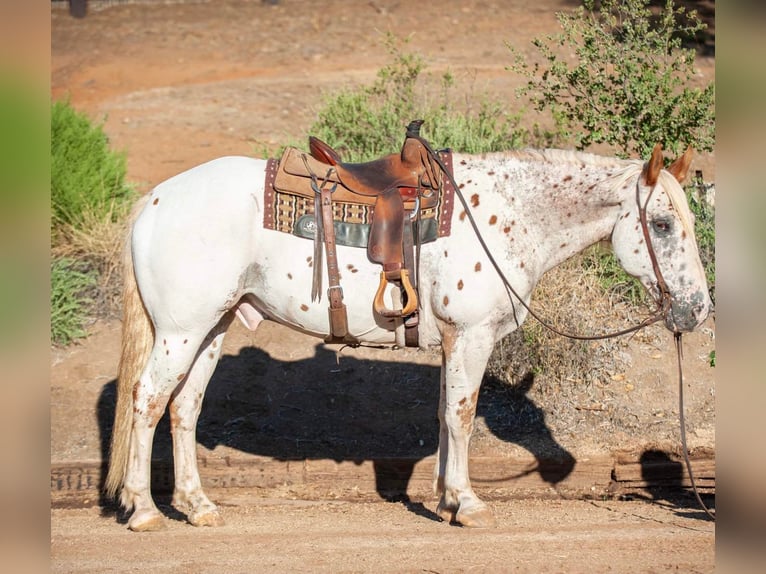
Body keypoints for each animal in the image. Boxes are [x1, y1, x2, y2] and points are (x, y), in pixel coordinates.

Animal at [105, 143, 712, 532]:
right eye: (662, 224)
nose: (697, 308)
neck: (509, 215)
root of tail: (155, 200)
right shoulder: (471, 335)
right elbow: (463, 415)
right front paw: (467, 503)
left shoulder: (452, 342)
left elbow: (445, 415)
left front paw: (444, 500)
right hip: (180, 333)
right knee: (146, 401)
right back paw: (145, 510)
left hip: (212, 328)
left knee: (183, 408)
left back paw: (197, 506)